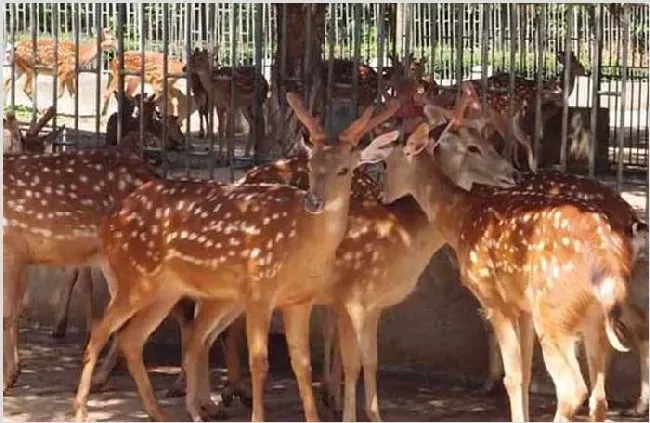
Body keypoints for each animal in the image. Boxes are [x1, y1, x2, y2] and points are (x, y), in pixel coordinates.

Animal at [362, 81, 640, 422]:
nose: (381, 194)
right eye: (473, 146)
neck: (460, 218)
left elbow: (513, 375)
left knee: (573, 389)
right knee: (599, 396)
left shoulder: (493, 296)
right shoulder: (522, 306)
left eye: (387, 162)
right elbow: (524, 373)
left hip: (555, 313)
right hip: (593, 318)